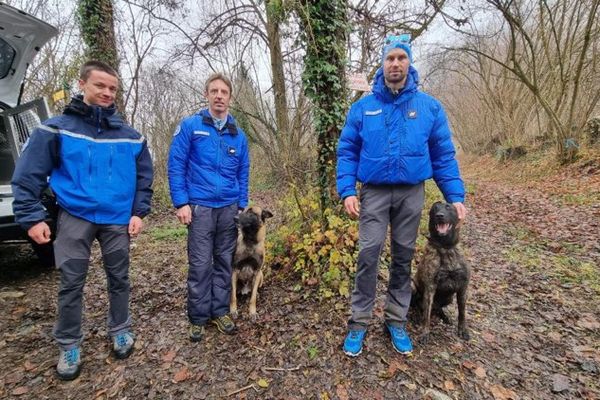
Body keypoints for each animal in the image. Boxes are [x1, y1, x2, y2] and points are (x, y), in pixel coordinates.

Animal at [410, 202, 472, 342]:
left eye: (449, 207)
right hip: (412, 287)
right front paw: (425, 332)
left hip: (449, 298)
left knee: (437, 309)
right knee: (419, 307)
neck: (446, 248)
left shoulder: (463, 288)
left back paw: (445, 316)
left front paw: (462, 329)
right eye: (435, 208)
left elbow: (462, 312)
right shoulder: (430, 288)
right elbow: (426, 315)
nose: (439, 215)